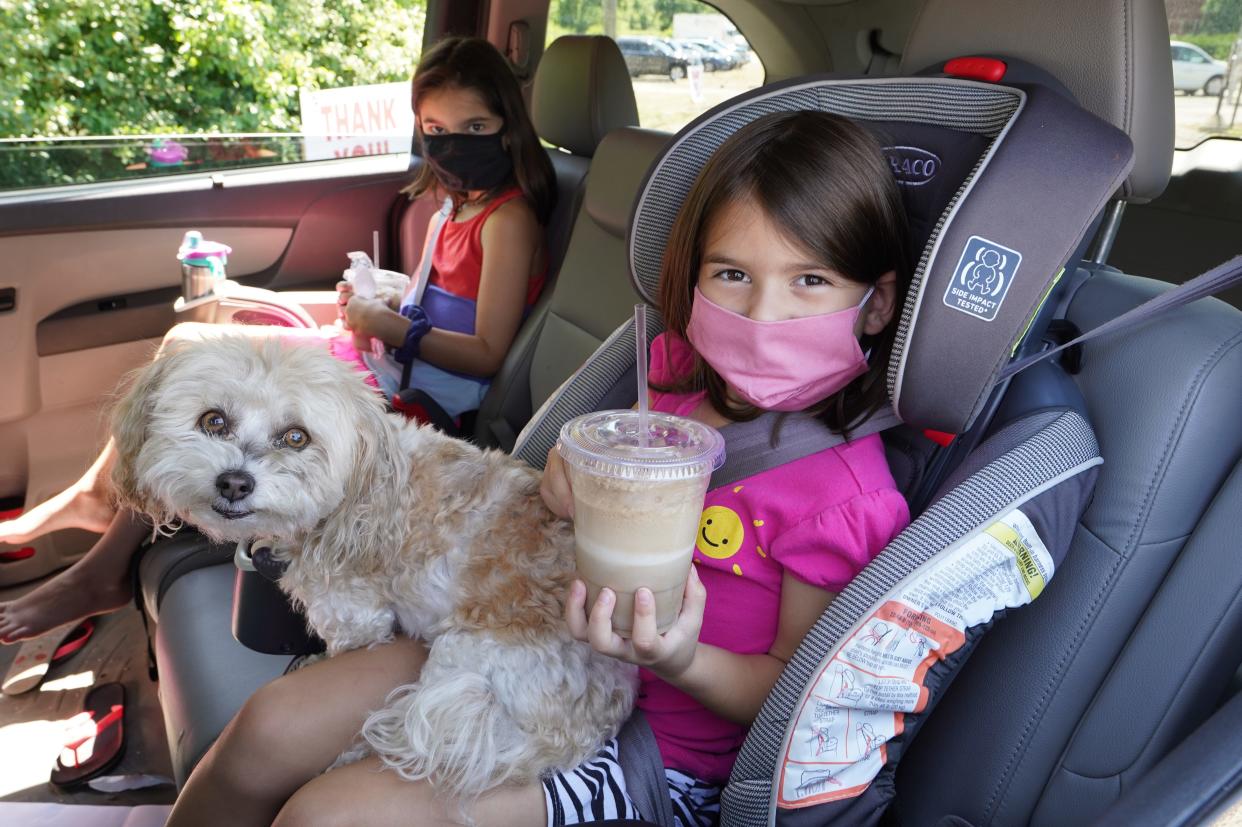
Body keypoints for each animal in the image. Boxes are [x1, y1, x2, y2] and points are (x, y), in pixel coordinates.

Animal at [110, 332, 635, 799]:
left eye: (296, 437)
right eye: (213, 421)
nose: (234, 483)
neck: (359, 487)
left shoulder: (354, 615)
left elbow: (347, 642)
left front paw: (318, 661)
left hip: (467, 662)